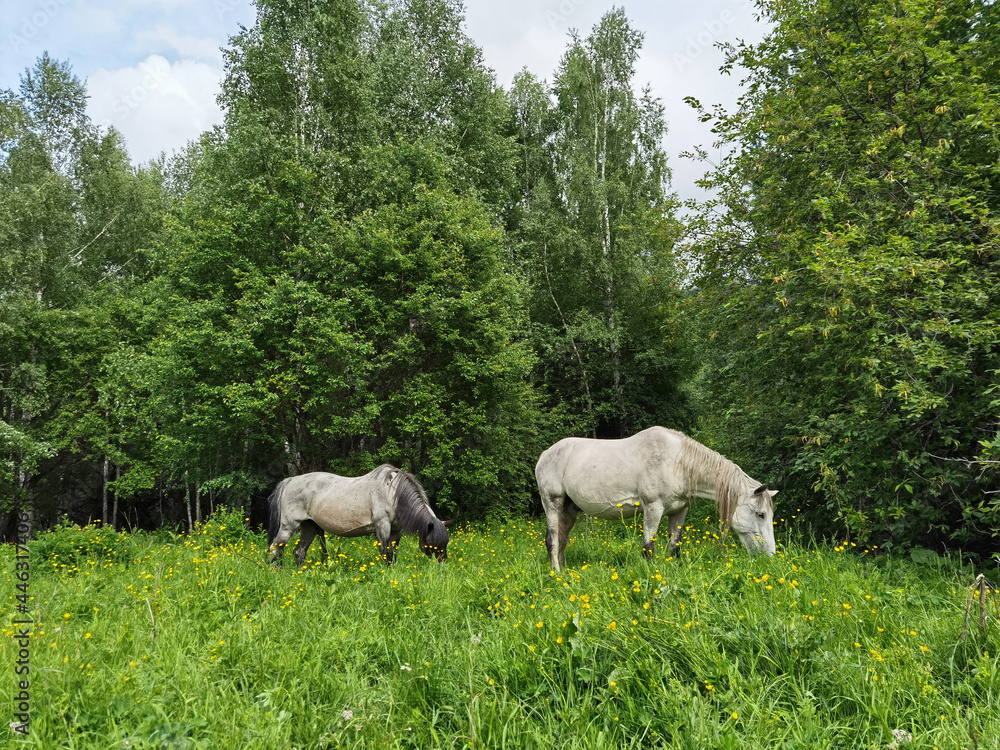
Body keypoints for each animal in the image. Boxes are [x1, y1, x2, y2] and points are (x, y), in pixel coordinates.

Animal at [267, 464, 450, 566]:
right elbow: (385, 553)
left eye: (446, 543)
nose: (443, 565)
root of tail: (289, 481)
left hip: (309, 527)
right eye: (432, 544)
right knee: (275, 549)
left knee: (299, 552)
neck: (392, 493)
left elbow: (394, 553)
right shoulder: (382, 527)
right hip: (288, 526)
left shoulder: (396, 531)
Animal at [535, 427, 777, 570]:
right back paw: (557, 574)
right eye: (760, 514)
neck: (677, 462)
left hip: (569, 510)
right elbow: (648, 547)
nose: (770, 556)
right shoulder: (653, 508)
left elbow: (674, 546)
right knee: (553, 540)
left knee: (561, 540)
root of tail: (545, 455)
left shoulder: (679, 511)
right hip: (552, 503)